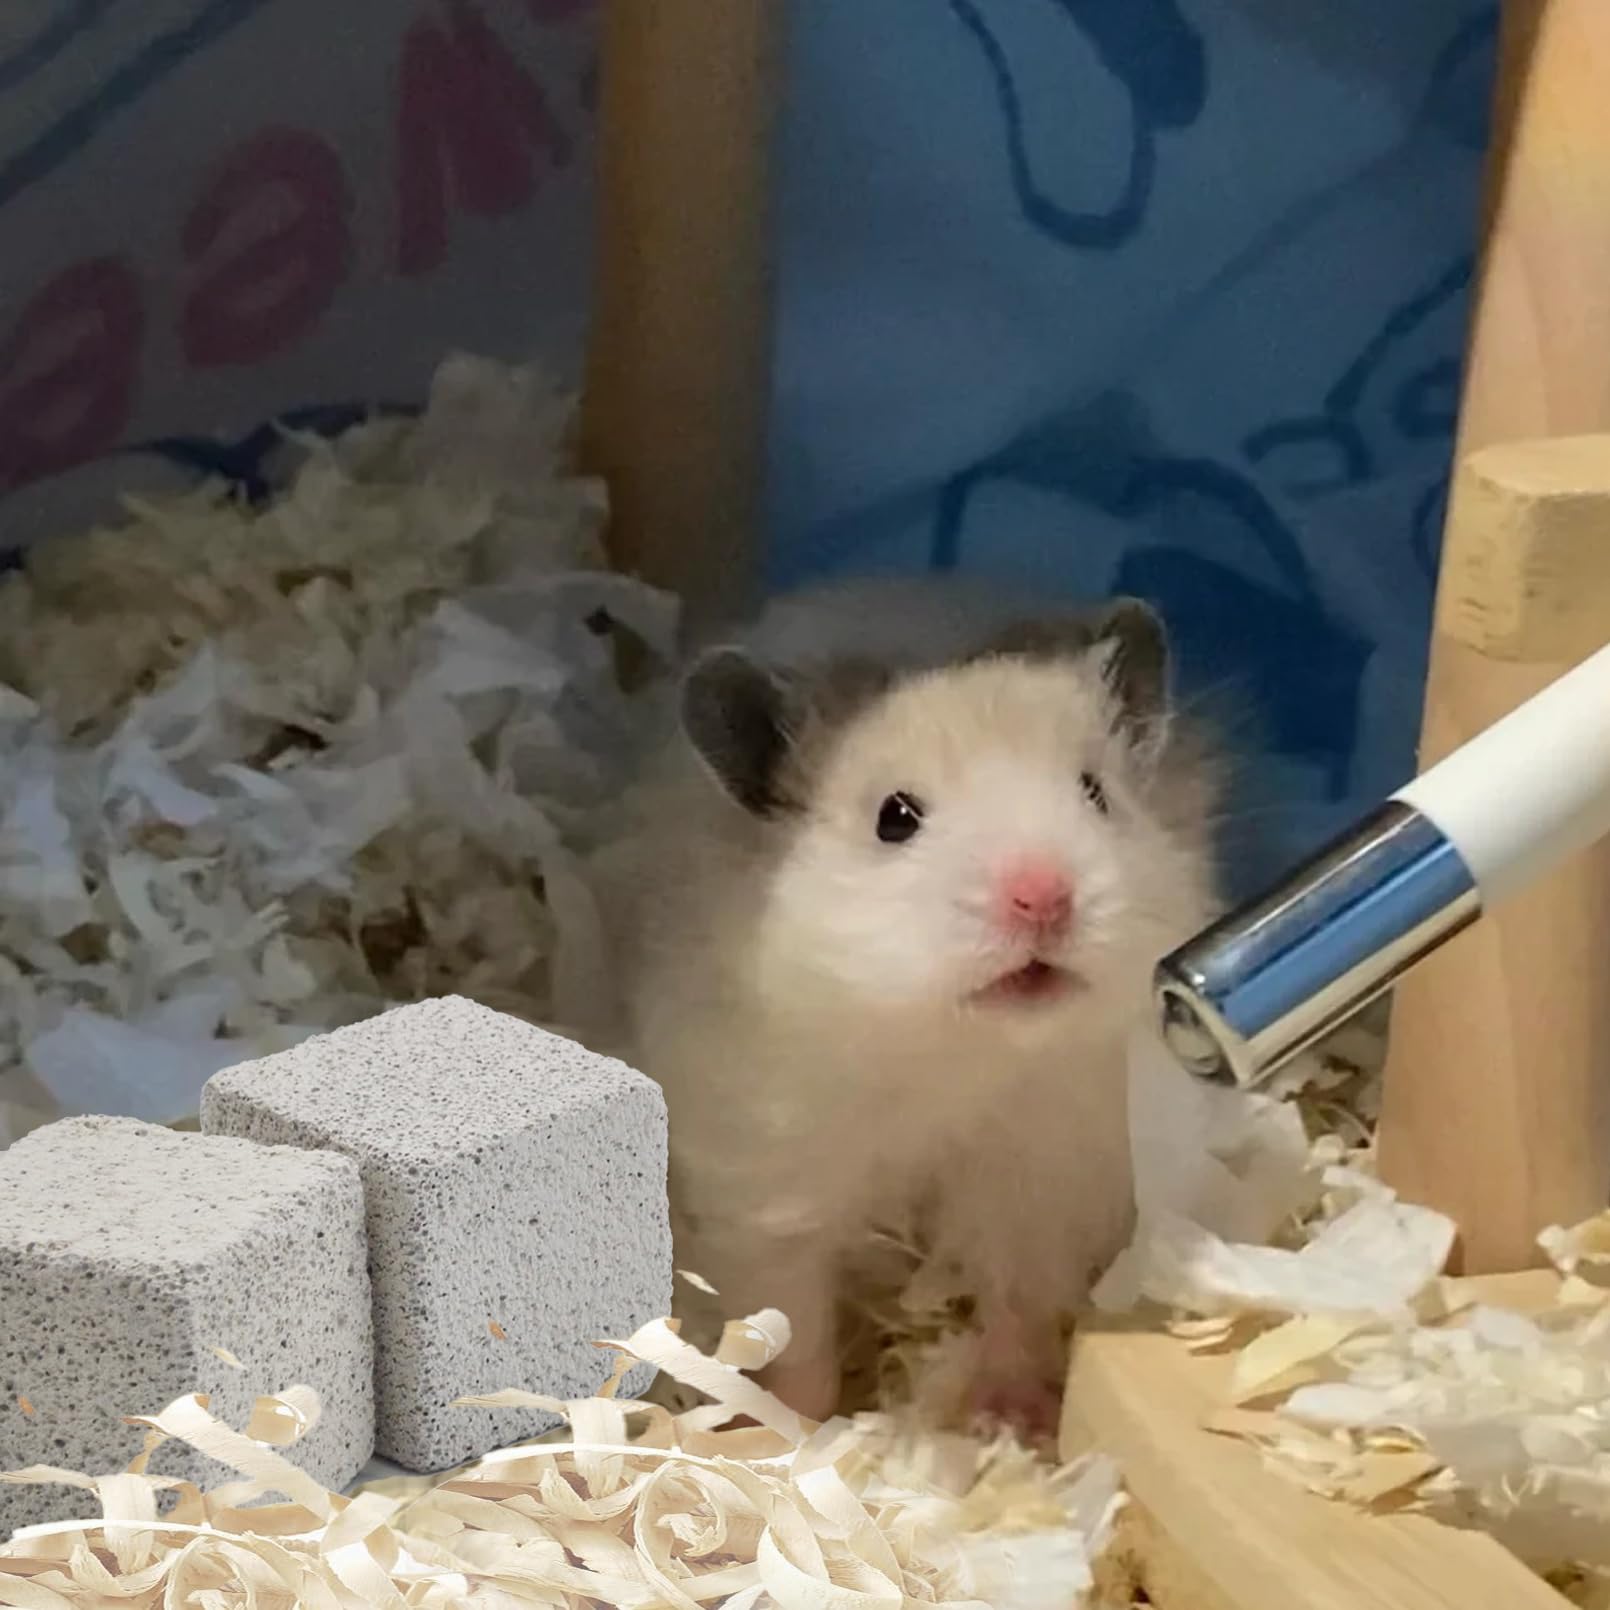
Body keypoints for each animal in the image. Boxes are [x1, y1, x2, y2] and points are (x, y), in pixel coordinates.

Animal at [586, 579, 1223, 1437]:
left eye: (1096, 794)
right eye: (895, 818)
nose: (1044, 897)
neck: (951, 1056)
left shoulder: (1045, 1185)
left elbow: (1017, 1304)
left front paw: (1009, 1418)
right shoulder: (771, 1194)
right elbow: (792, 1328)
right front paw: (794, 1430)